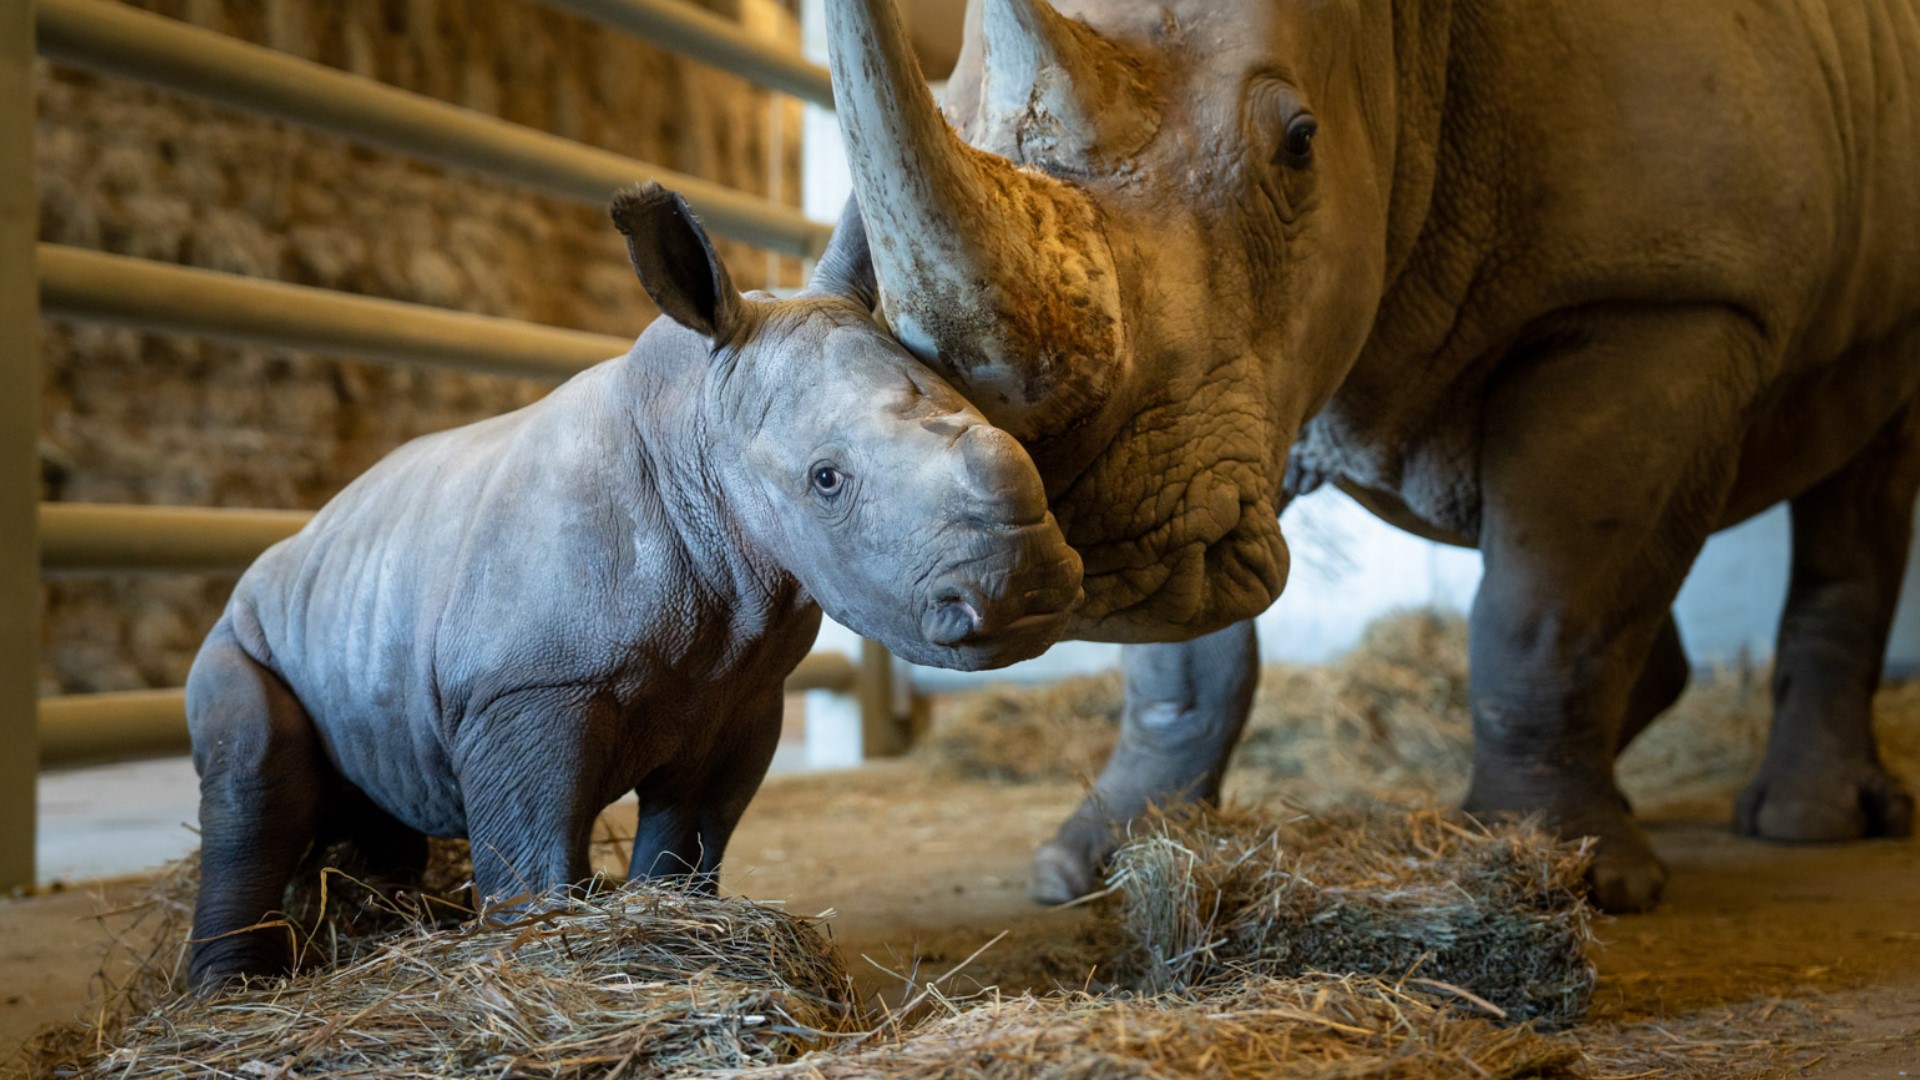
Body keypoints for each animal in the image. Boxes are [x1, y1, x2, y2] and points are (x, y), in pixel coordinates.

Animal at [183, 183, 1084, 988]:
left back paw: (387, 918)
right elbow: (532, 855)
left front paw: (668, 930)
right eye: (827, 479)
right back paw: (232, 993)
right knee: (252, 773)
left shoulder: (739, 691)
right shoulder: (527, 688)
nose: (1028, 590)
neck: (696, 430)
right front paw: (543, 956)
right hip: (242, 626)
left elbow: (691, 841)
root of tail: (298, 539)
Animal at [823, 0, 1920, 911]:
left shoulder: (1664, 299)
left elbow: (1547, 607)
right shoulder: (1227, 412)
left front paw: (1568, 875)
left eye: (1300, 144)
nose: (1096, 552)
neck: (1400, 34)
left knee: (1860, 478)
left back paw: (1805, 826)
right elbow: (1185, 655)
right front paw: (1089, 864)